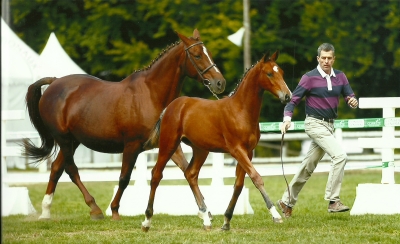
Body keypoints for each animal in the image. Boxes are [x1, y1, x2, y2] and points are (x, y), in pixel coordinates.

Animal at [22, 29, 225, 221]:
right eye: (197, 55)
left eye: (209, 53)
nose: (219, 83)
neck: (151, 94)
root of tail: (55, 82)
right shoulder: (132, 145)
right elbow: (124, 178)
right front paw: (114, 211)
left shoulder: (169, 144)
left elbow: (186, 170)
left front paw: (205, 212)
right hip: (63, 139)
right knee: (71, 170)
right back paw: (94, 209)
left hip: (73, 141)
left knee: (57, 168)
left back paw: (46, 212)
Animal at [142, 51, 292, 231]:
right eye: (269, 73)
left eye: (282, 72)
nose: (287, 96)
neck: (241, 111)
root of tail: (170, 107)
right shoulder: (236, 150)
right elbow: (256, 177)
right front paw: (276, 215)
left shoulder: (248, 152)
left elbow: (239, 185)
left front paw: (226, 221)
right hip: (168, 144)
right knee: (156, 175)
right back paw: (147, 220)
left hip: (201, 149)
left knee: (191, 174)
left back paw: (206, 219)